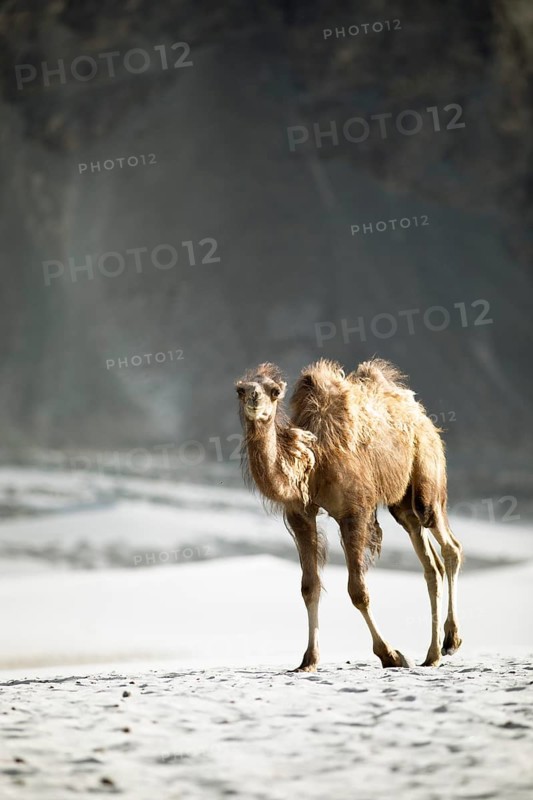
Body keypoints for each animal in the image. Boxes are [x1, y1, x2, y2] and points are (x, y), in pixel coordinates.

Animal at [235, 358, 463, 671]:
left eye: (274, 391)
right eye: (240, 390)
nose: (254, 399)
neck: (314, 463)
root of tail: (420, 414)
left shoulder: (354, 511)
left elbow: (358, 591)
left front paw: (390, 654)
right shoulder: (300, 515)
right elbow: (309, 587)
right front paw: (308, 660)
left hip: (428, 480)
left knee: (449, 545)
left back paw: (450, 642)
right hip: (402, 506)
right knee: (431, 564)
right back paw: (432, 654)